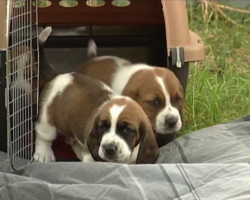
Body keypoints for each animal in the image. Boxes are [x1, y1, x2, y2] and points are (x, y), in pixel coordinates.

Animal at [33, 27, 158, 164]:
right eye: (102, 127)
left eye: (128, 130)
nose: (109, 148)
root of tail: (57, 76)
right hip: (47, 120)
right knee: (44, 137)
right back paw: (43, 153)